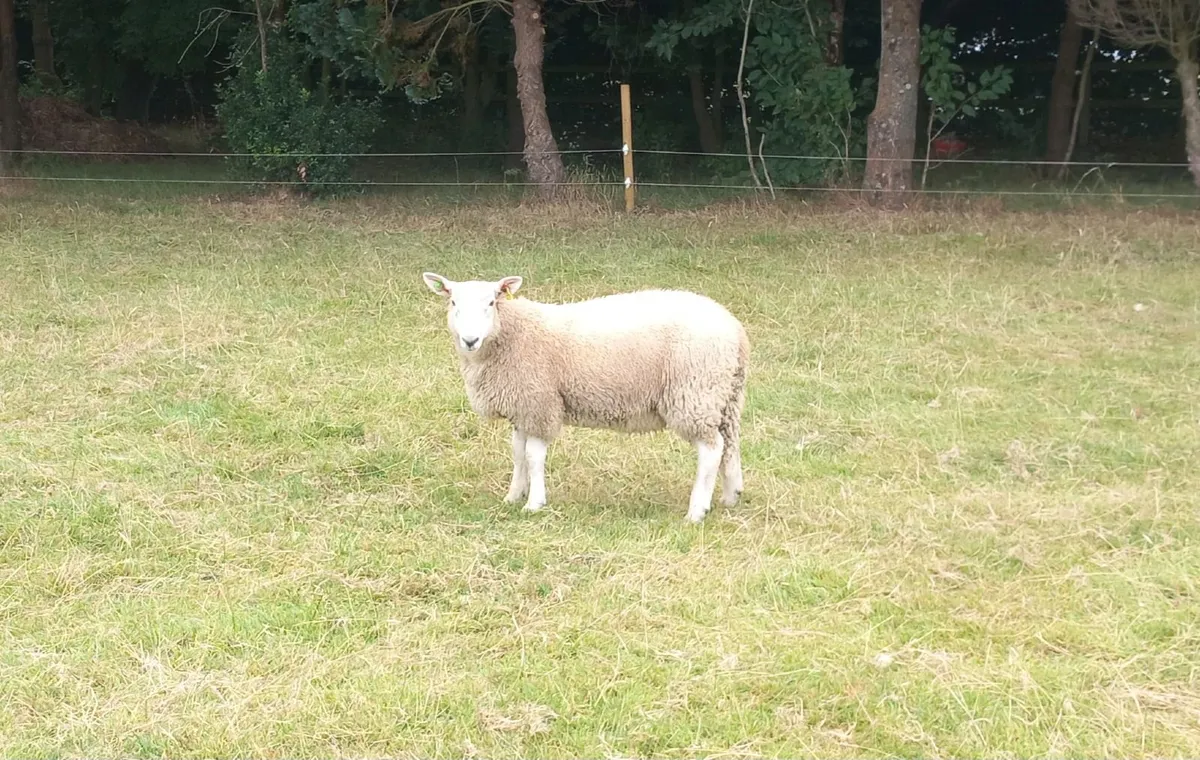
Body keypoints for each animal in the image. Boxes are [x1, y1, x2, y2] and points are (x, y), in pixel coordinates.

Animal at [421, 272, 750, 523]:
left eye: (491, 302)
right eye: (453, 302)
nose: (470, 340)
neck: (511, 334)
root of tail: (735, 329)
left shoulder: (540, 403)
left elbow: (533, 456)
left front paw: (534, 503)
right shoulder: (523, 407)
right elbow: (517, 453)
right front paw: (513, 496)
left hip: (695, 394)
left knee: (711, 450)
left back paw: (696, 511)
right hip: (725, 398)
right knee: (730, 444)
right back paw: (730, 495)